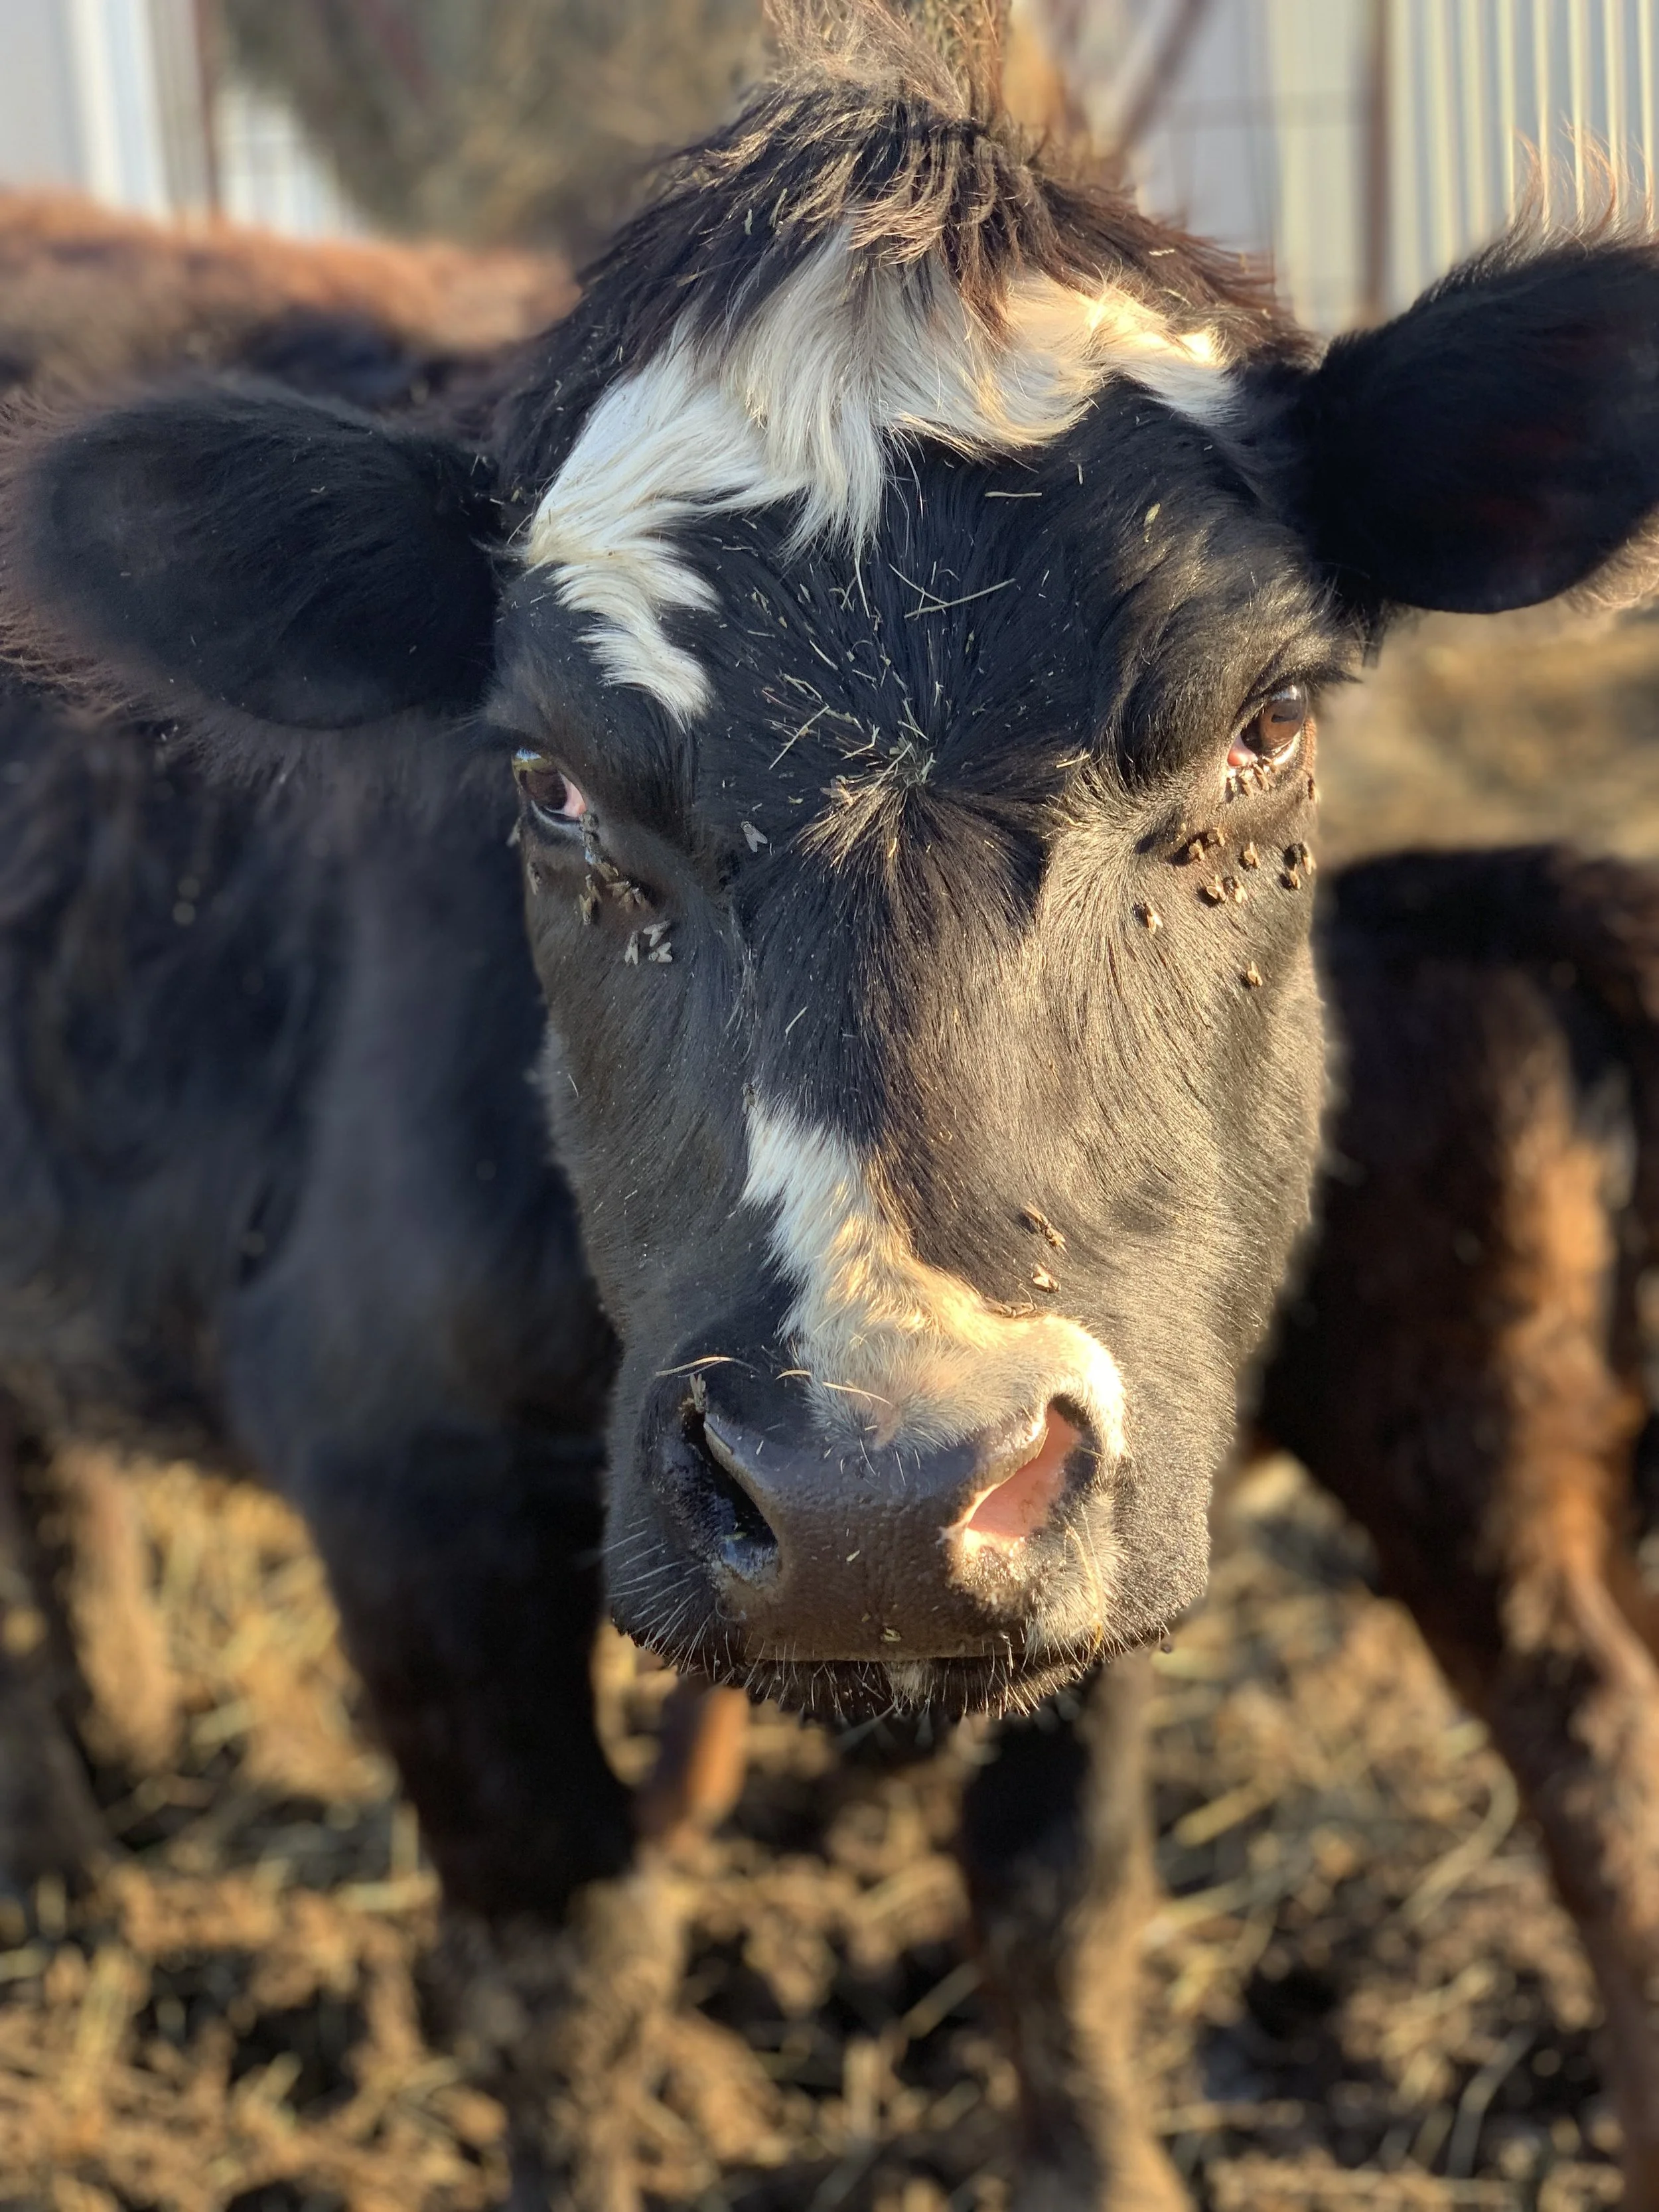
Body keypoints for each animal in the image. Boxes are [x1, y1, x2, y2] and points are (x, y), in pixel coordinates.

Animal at [5, 3, 1659, 2202]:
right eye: (544, 782)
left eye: (1266, 724)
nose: (869, 1495)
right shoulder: (396, 1462)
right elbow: (563, 1969)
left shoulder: (1133, 1461)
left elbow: (1058, 1897)